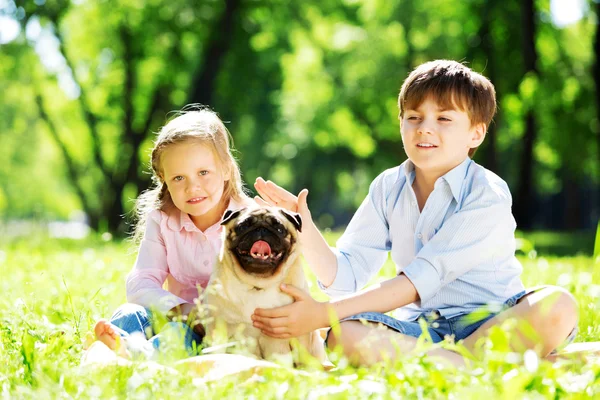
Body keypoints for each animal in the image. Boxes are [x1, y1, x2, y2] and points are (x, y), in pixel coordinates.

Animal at [205, 205, 328, 364]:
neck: (258, 283)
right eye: (243, 226)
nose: (261, 229)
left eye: (280, 229)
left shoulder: (298, 333)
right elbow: (216, 352)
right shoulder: (217, 329)